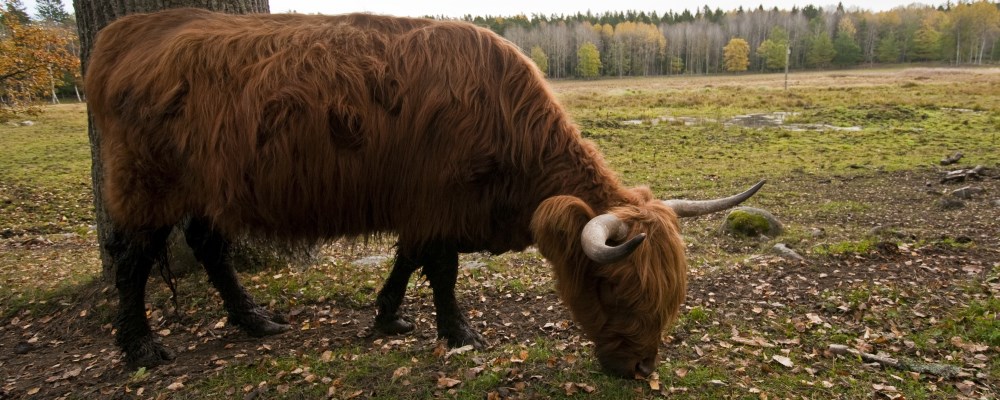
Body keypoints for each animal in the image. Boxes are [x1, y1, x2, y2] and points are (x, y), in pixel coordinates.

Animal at [86, 8, 760, 378]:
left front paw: (387, 316)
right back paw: (140, 345)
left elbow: (406, 259)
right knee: (133, 259)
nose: (642, 368)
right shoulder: (439, 204)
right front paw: (459, 333)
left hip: (205, 186)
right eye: (615, 290)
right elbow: (440, 269)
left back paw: (255, 321)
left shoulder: (425, 210)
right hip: (144, 184)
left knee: (208, 245)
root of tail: (126, 33)